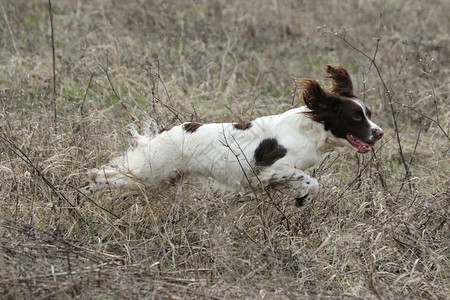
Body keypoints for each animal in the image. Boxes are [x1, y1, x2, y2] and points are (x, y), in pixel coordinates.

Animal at [80, 65, 384, 206]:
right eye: (356, 117)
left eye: (368, 113)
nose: (379, 133)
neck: (310, 129)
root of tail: (166, 131)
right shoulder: (272, 167)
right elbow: (311, 180)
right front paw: (303, 195)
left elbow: (311, 184)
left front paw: (300, 198)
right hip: (152, 172)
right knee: (103, 175)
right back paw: (83, 194)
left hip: (163, 178)